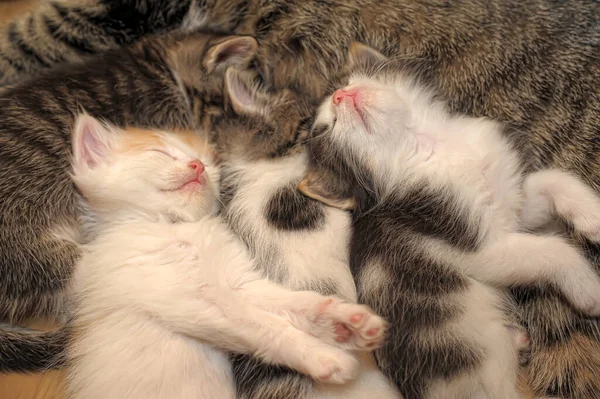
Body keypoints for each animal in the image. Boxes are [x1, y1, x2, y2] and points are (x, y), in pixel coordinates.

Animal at [65, 112, 384, 399]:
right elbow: (268, 327)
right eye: (159, 153)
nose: (196, 166)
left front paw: (345, 323)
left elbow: (300, 303)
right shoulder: (193, 303)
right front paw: (325, 358)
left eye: (206, 163)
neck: (178, 227)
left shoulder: (240, 285)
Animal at [300, 43, 600, 399]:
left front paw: (593, 215)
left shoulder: (512, 205)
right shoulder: (477, 246)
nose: (341, 95)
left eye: (350, 79)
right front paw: (589, 288)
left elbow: (553, 180)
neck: (430, 144)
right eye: (328, 128)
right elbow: (552, 250)